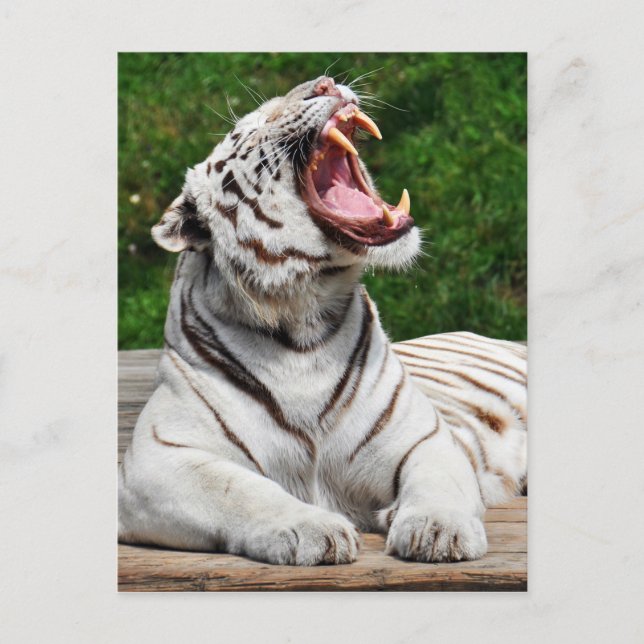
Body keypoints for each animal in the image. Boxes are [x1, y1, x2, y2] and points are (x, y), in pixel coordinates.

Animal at [118, 75, 527, 566]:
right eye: (247, 129)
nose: (324, 83)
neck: (302, 320)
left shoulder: (425, 437)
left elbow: (437, 482)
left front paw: (437, 530)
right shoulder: (158, 457)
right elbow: (241, 489)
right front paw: (311, 530)